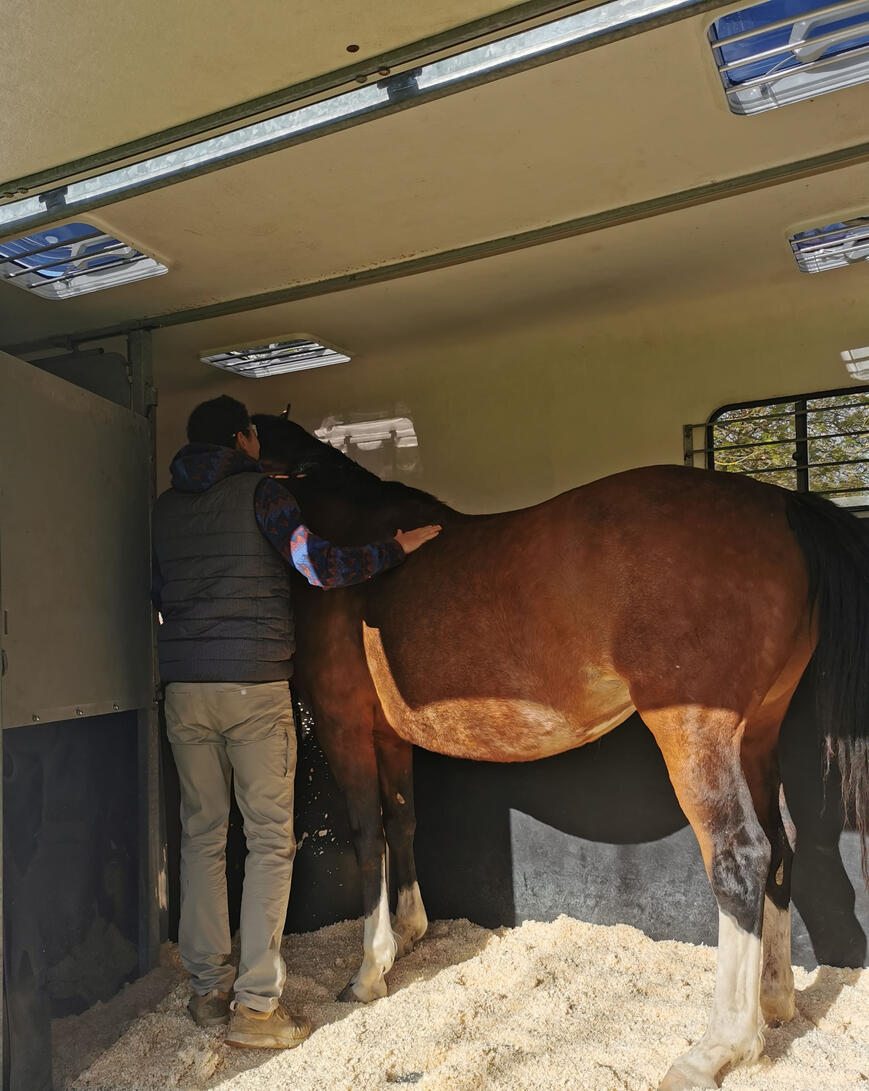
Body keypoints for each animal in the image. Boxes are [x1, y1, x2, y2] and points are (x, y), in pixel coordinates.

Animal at [253, 412, 869, 1091]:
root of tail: (779, 504)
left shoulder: (342, 725)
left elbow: (367, 838)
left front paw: (369, 971)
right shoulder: (389, 737)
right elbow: (403, 823)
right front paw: (410, 935)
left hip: (698, 734)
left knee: (741, 857)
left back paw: (720, 1047)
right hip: (758, 733)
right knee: (781, 846)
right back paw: (775, 1000)